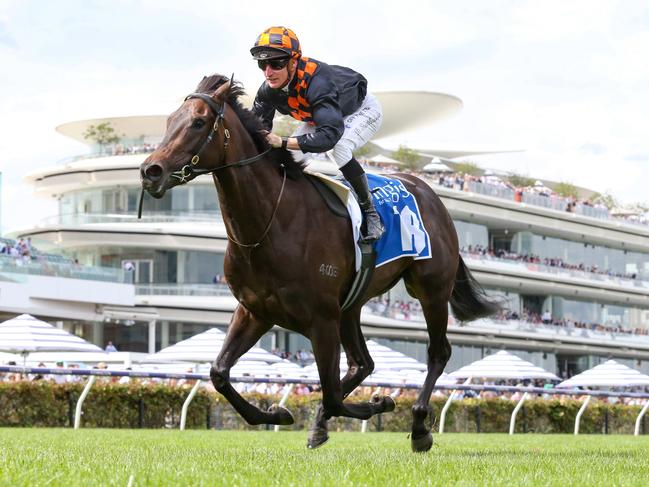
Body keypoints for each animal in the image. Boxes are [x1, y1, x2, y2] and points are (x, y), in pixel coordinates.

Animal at [139, 73, 498, 454]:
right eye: (168, 121)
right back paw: (323, 424)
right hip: (352, 305)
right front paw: (278, 414)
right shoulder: (255, 311)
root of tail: (431, 194)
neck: (272, 221)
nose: (150, 171)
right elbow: (220, 374)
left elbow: (332, 396)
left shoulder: (321, 318)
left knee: (437, 352)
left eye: (198, 122)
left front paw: (381, 402)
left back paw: (418, 427)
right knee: (362, 364)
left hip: (430, 290)